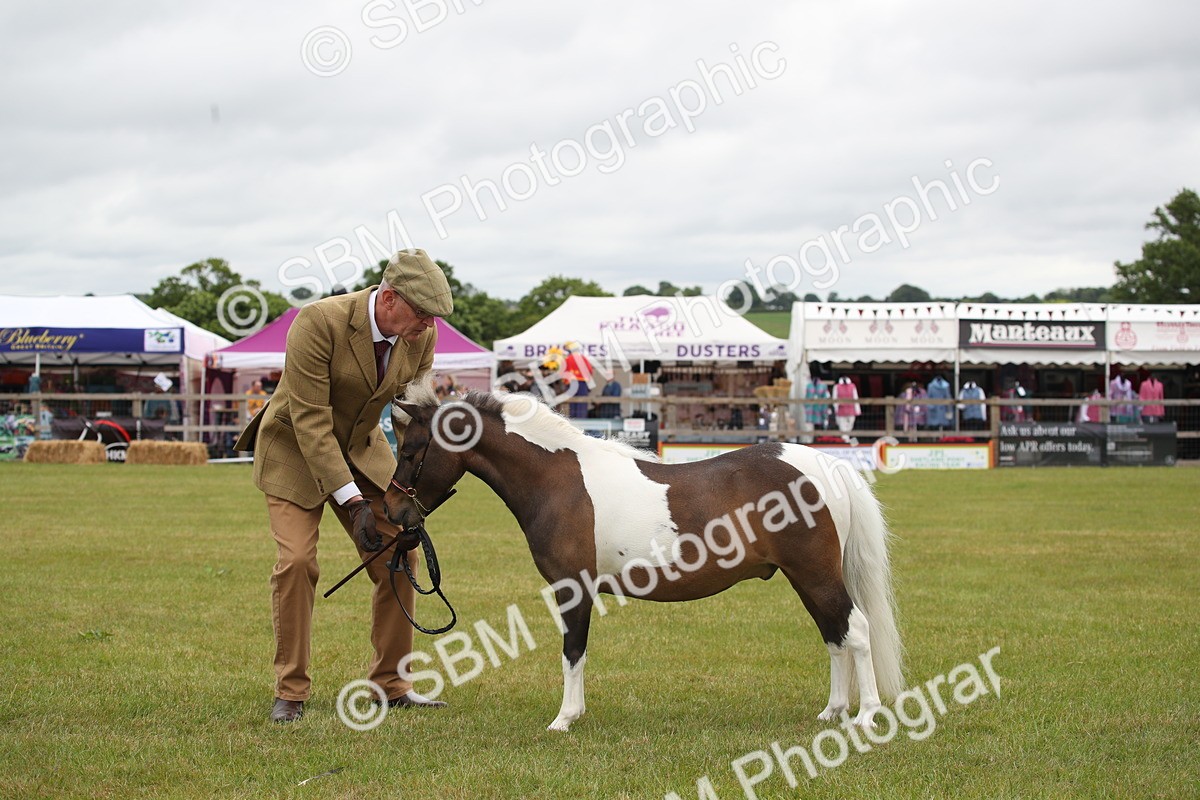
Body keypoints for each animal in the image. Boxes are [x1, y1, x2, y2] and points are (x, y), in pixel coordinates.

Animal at [384, 381, 902, 732]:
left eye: (411, 452)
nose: (391, 511)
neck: (558, 480)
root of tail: (826, 465)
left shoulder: (573, 587)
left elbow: (573, 651)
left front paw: (564, 719)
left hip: (816, 575)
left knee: (855, 631)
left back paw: (867, 715)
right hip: (808, 578)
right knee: (834, 636)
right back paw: (833, 711)